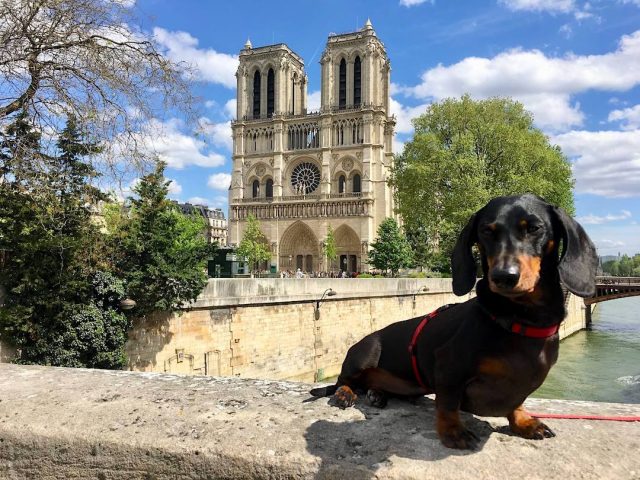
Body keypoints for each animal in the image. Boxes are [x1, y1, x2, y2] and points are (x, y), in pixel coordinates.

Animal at [312, 193, 600, 448]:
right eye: (486, 231)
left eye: (534, 228)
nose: (503, 276)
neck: (520, 320)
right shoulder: (447, 366)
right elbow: (448, 403)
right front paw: (453, 431)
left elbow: (517, 402)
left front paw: (522, 420)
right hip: (365, 353)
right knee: (342, 382)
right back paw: (345, 393)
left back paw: (377, 393)